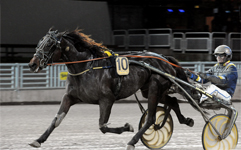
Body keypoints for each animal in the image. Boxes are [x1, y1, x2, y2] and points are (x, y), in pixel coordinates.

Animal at [28, 28, 194, 149]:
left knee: (151, 118)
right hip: (150, 90)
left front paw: (127, 127)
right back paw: (186, 120)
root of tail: (164, 58)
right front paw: (38, 140)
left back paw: (132, 141)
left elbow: (102, 125)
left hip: (155, 87)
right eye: (39, 43)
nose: (32, 64)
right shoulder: (69, 97)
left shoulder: (107, 99)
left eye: (49, 44)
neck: (86, 68)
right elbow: (57, 120)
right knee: (173, 101)